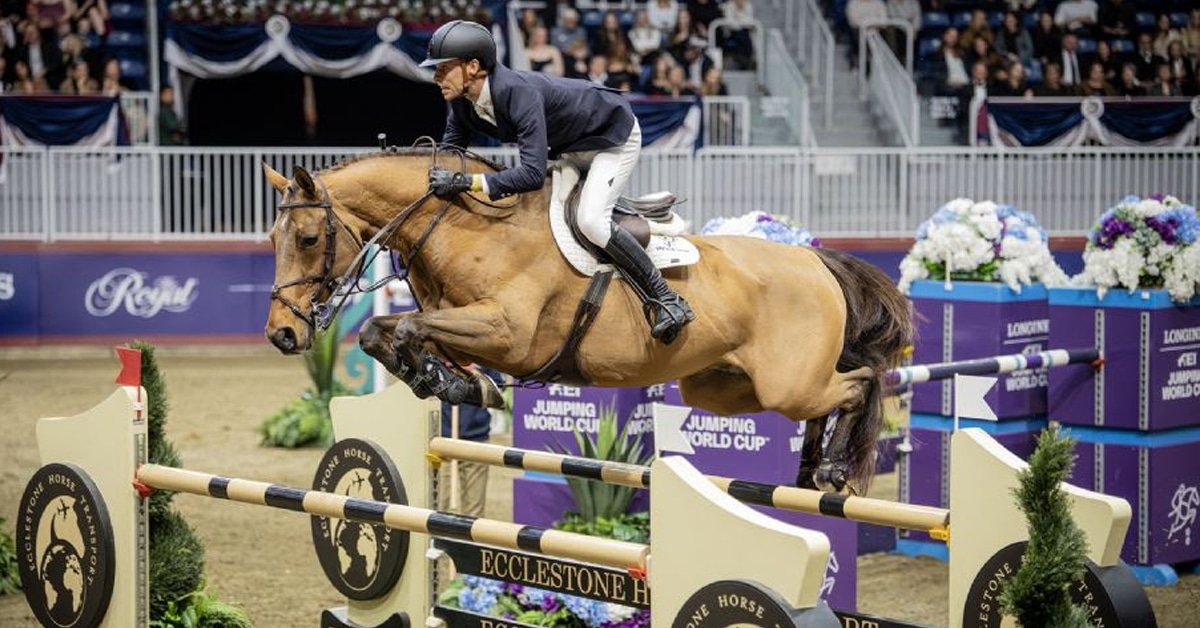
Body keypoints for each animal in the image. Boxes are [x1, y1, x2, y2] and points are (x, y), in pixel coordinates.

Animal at [262, 147, 913, 493]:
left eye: (309, 237)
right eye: (272, 237)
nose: (282, 333)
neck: (468, 228)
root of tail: (815, 259)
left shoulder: (508, 334)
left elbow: (408, 329)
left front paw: (448, 381)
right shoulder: (459, 322)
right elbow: (388, 333)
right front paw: (453, 383)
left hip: (788, 382)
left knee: (857, 384)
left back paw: (833, 468)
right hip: (723, 387)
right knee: (829, 394)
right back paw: (807, 471)